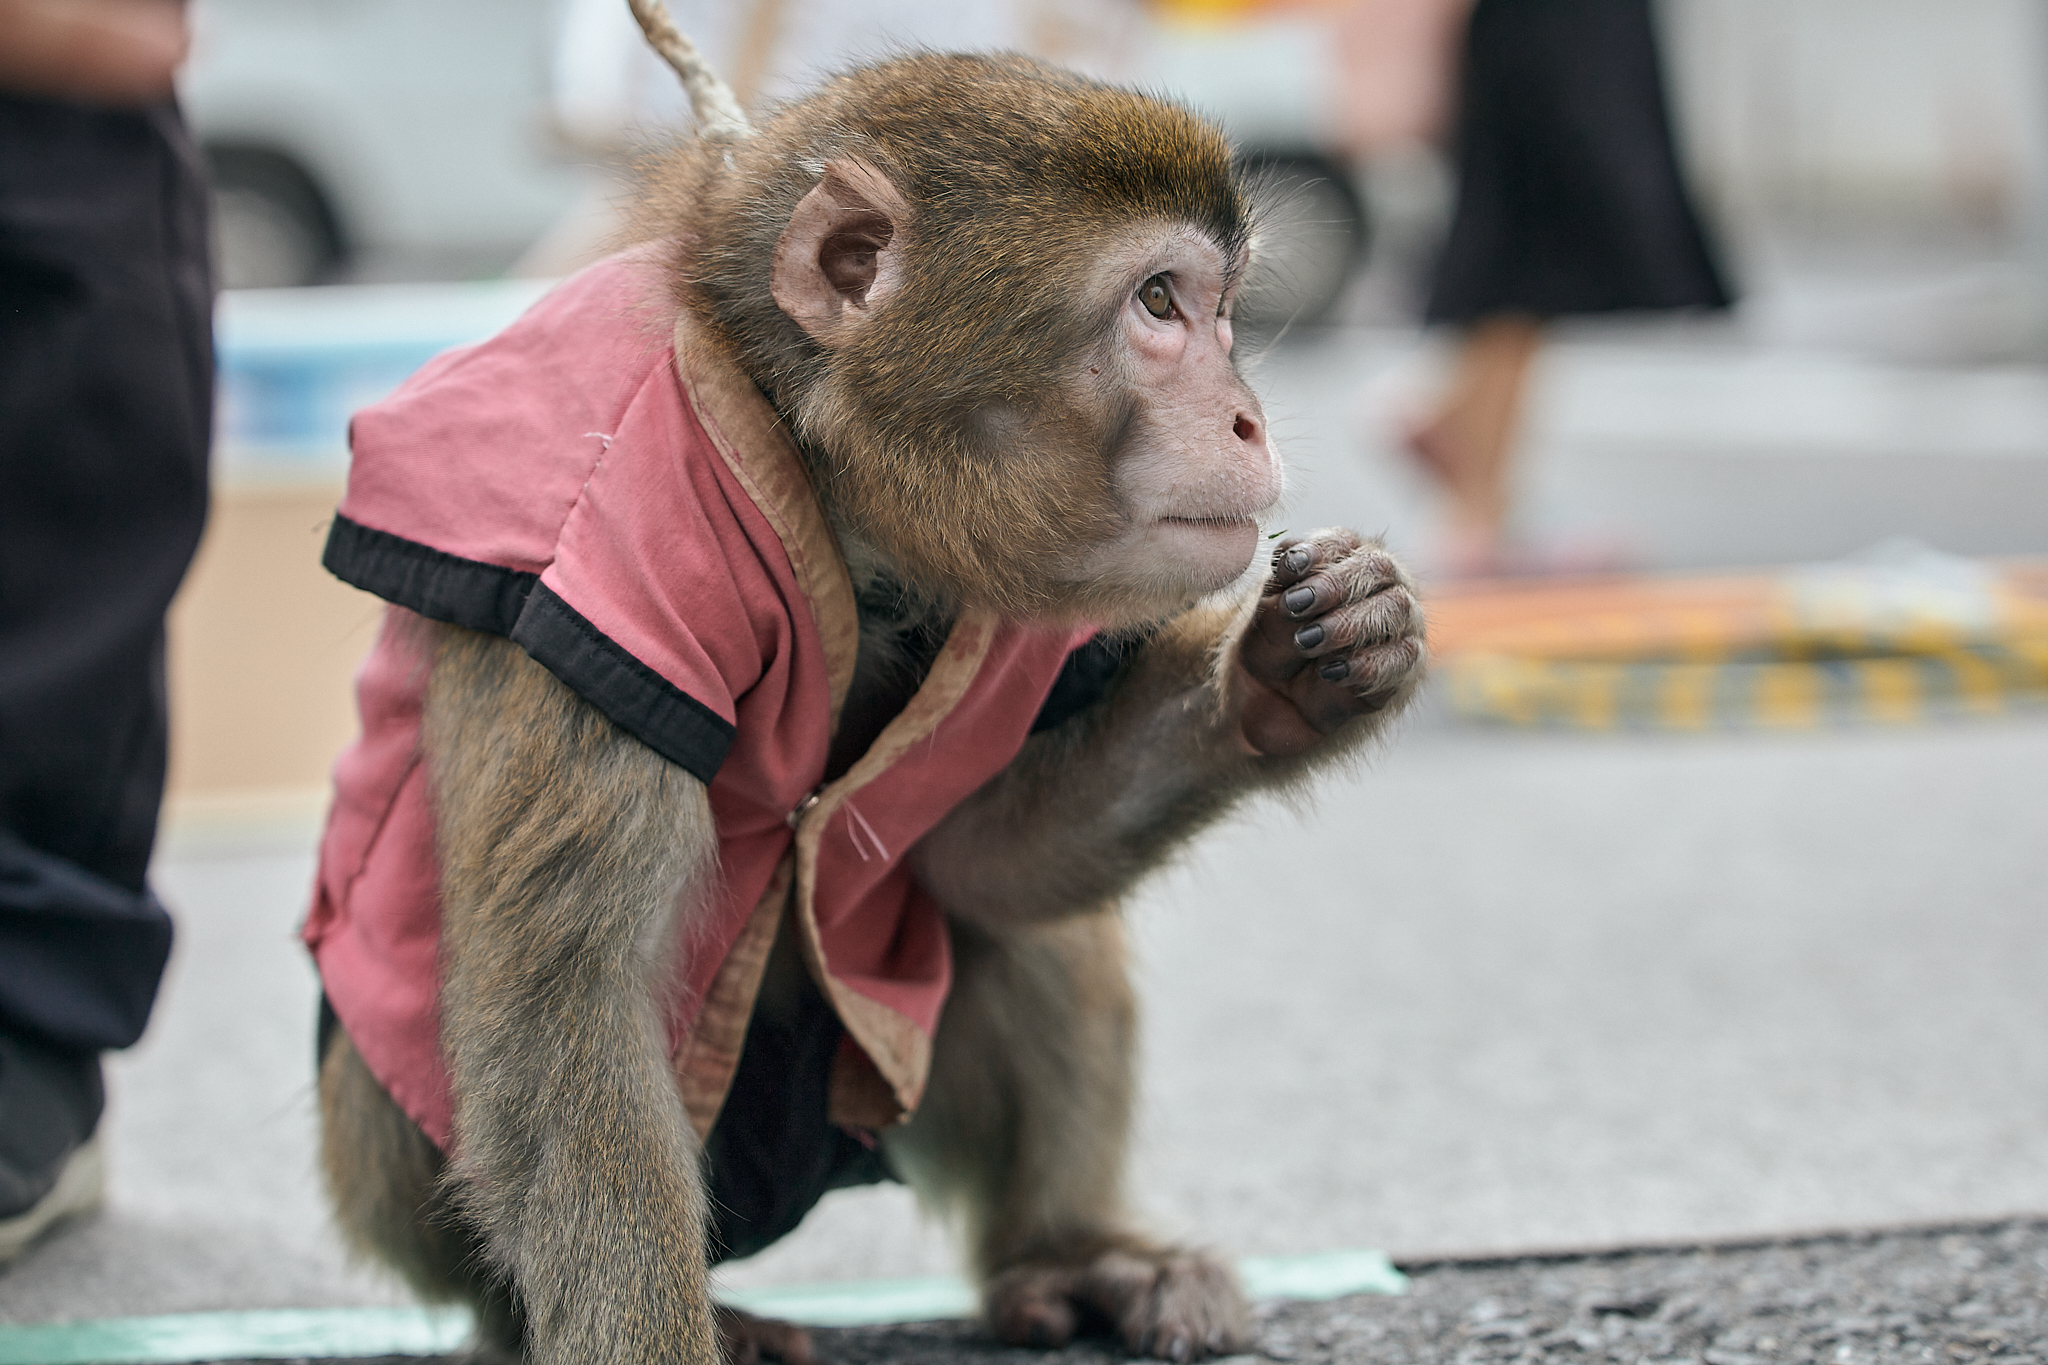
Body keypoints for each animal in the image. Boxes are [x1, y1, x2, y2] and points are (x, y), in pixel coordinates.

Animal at [307, 13, 1425, 1365]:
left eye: (1220, 309)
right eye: (1159, 302)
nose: (1248, 418)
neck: (833, 485)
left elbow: (975, 865)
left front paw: (1285, 677)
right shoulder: (597, 575)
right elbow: (574, 1024)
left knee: (1003, 927)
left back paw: (1070, 1252)